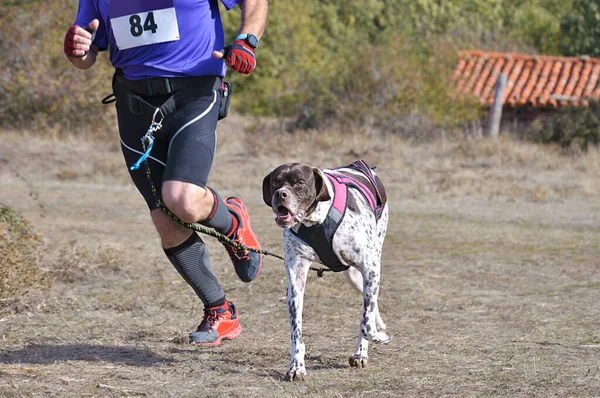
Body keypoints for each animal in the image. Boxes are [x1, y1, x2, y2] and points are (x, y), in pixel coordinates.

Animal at [262, 160, 390, 380]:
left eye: (300, 183)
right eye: (275, 183)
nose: (280, 194)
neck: (316, 221)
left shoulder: (370, 269)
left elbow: (365, 324)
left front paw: (375, 339)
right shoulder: (296, 280)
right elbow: (296, 332)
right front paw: (297, 366)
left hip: (370, 268)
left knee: (370, 305)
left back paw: (361, 352)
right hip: (353, 276)